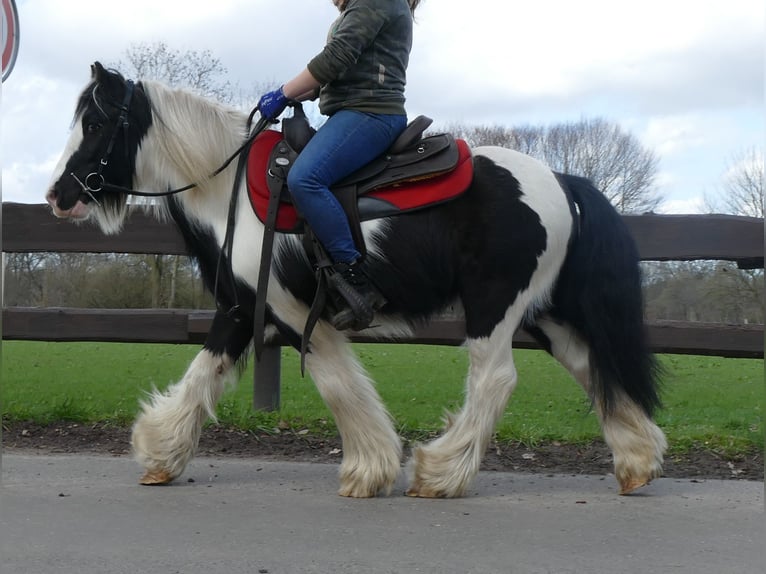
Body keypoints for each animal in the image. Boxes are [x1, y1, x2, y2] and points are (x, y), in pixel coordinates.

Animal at [45, 63, 664, 500]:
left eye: (95, 123)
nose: (58, 194)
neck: (231, 193)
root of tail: (560, 180)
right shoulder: (241, 309)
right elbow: (203, 376)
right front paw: (160, 453)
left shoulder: (297, 313)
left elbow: (337, 384)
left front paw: (370, 469)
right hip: (545, 314)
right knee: (592, 366)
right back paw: (636, 462)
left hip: (495, 306)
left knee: (495, 380)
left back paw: (439, 473)